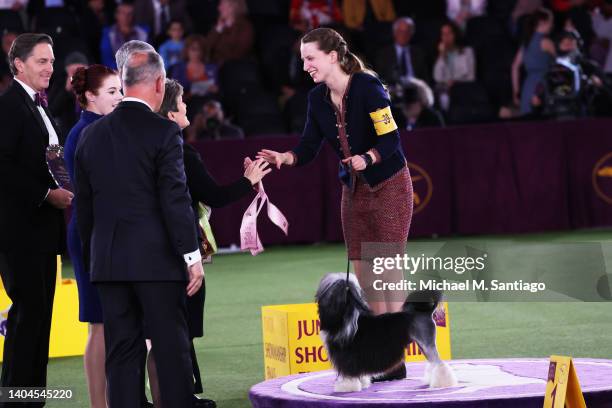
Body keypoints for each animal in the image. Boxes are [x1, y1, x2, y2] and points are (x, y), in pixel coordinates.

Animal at [316, 274, 454, 392]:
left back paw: (443, 383)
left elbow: (347, 373)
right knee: (433, 363)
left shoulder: (347, 357)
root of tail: (427, 312)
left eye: (332, 291)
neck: (346, 317)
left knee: (440, 364)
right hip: (423, 344)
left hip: (426, 343)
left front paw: (346, 387)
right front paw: (363, 383)